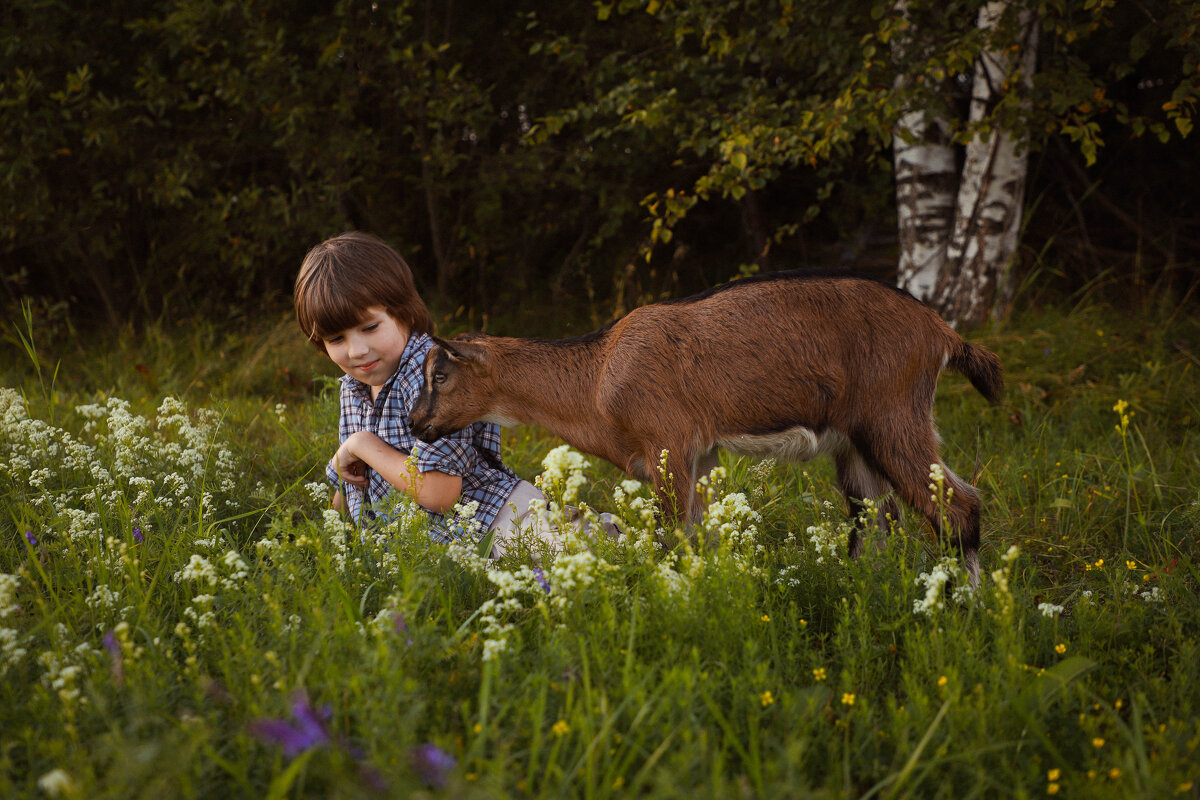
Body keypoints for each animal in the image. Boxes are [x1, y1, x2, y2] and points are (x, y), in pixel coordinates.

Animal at [412, 268, 1003, 582]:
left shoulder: (668, 444)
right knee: (876, 523)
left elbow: (672, 536)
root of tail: (941, 333)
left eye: (439, 374)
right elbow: (701, 535)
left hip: (893, 416)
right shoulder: (701, 454)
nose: (417, 425)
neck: (599, 375)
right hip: (856, 441)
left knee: (959, 507)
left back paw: (967, 611)